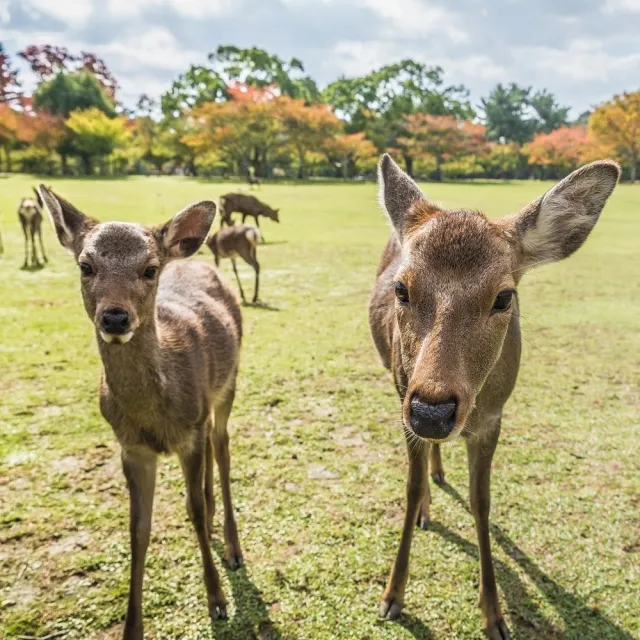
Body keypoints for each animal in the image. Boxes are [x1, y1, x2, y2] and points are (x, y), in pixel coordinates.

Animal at [38, 185, 245, 640]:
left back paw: (234, 548)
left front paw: (218, 600)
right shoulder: (131, 448)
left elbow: (193, 511)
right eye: (85, 265)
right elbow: (138, 529)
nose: (115, 317)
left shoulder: (190, 432)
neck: (156, 414)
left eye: (150, 269)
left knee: (222, 450)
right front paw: (131, 627)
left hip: (229, 387)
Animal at [370, 152, 620, 636]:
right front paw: (392, 597)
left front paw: (494, 614)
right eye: (401, 288)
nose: (432, 412)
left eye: (505, 296)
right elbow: (409, 489)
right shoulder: (402, 400)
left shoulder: (492, 419)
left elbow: (481, 503)